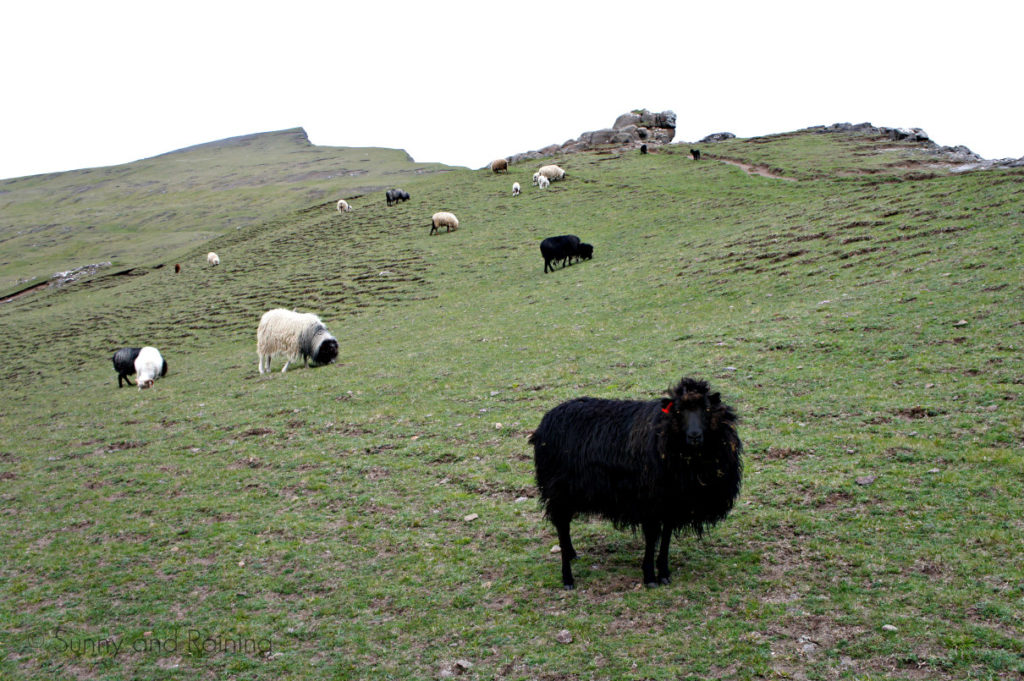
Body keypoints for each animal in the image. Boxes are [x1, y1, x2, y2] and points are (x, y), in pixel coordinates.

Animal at [532, 374, 741, 585]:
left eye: (706, 409)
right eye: (678, 411)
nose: (695, 436)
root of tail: (545, 422)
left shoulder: (672, 503)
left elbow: (666, 536)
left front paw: (663, 572)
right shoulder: (649, 500)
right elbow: (651, 537)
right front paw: (649, 576)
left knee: (564, 528)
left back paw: (572, 553)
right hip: (559, 490)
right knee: (561, 526)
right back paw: (567, 577)